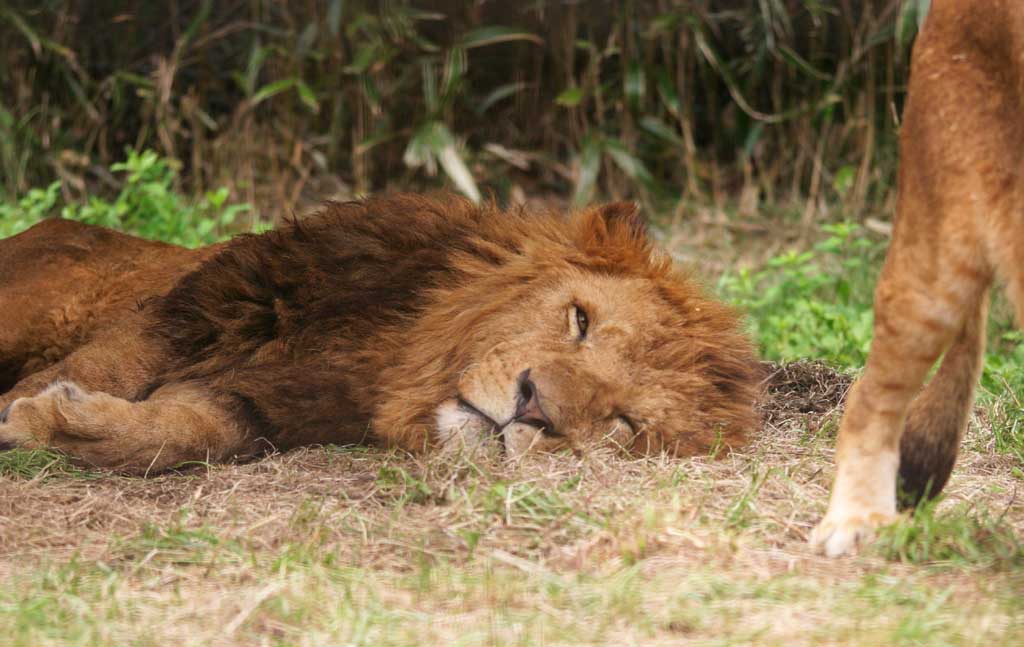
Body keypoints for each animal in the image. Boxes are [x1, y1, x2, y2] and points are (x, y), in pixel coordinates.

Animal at [2, 194, 761, 472]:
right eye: (581, 319)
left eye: (624, 423)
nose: (534, 407)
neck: (394, 351)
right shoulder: (208, 303)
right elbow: (111, 363)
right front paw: (24, 410)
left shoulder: (269, 401)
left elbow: (182, 431)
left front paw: (61, 423)